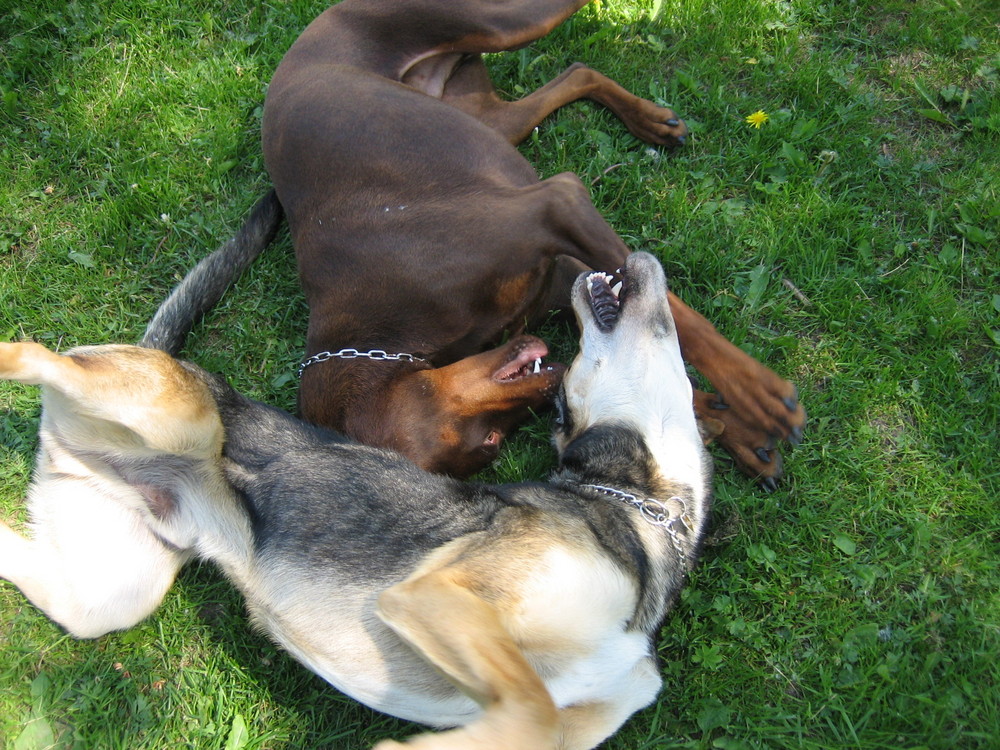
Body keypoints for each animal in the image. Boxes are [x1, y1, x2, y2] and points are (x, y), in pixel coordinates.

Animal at [3, 256, 716, 748]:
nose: (636, 258)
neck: (642, 512)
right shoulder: (436, 594)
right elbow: (535, 711)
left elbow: (531, 723)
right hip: (181, 415)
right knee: (35, 354)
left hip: (111, 595)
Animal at [145, 0, 804, 488]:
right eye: (491, 442)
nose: (555, 384)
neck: (384, 333)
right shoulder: (557, 271)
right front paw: (737, 431)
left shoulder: (553, 205)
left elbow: (683, 322)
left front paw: (759, 396)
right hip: (487, 117)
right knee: (576, 73)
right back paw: (650, 119)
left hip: (497, 21)